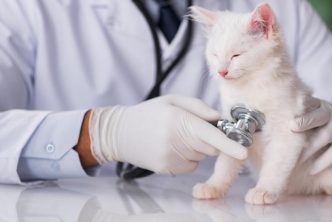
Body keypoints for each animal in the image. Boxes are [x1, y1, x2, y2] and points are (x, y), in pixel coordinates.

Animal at [189, 3, 332, 205]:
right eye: (215, 55)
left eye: (236, 55)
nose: (222, 71)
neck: (250, 87)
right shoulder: (234, 126)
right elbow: (226, 162)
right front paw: (213, 186)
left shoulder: (288, 133)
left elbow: (275, 167)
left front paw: (264, 190)